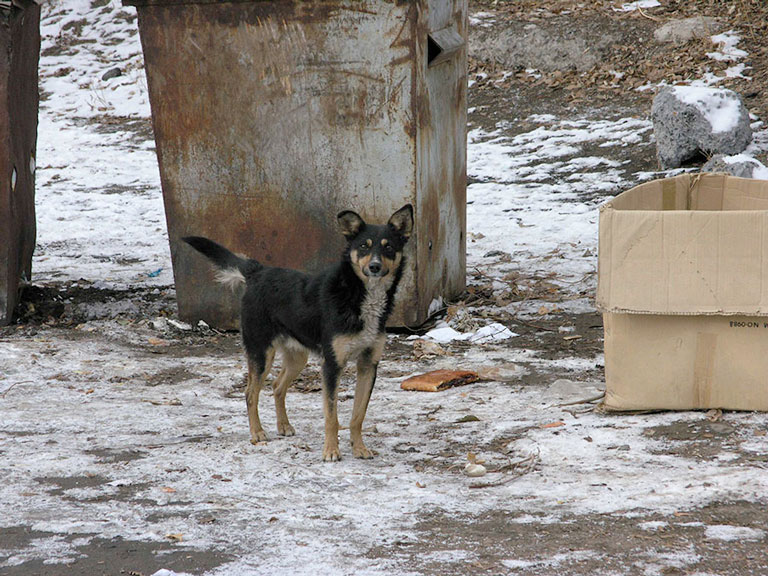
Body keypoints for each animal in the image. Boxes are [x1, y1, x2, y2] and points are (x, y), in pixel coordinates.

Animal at [183, 205, 414, 462]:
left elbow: (358, 415)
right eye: (364, 246)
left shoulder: (368, 364)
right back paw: (257, 432)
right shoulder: (332, 365)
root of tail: (258, 272)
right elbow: (332, 416)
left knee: (277, 386)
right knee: (250, 393)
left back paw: (283, 426)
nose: (374, 266)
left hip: (297, 358)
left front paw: (359, 448)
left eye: (389, 247)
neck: (360, 295)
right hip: (261, 353)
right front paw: (331, 451)